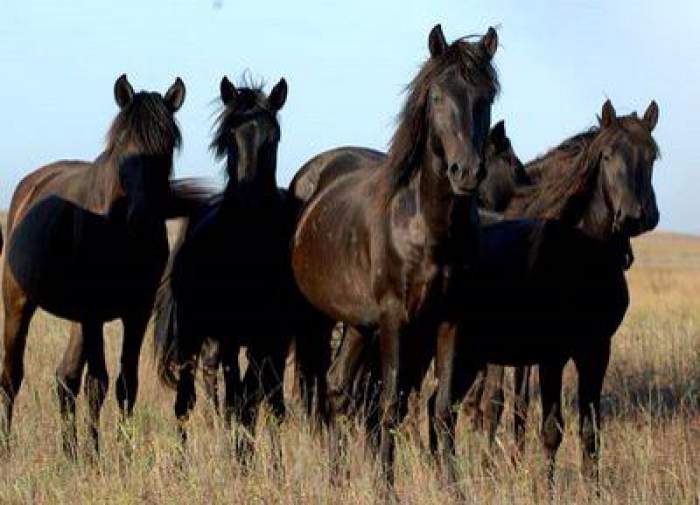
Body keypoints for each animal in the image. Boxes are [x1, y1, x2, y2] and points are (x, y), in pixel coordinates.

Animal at [0, 76, 189, 456]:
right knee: (11, 376)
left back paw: (70, 452)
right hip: (18, 305)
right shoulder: (93, 312)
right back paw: (9, 447)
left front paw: (124, 453)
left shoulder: (137, 312)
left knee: (65, 377)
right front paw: (96, 455)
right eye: (124, 146)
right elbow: (97, 383)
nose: (142, 213)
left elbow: (126, 383)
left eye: (168, 146)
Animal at [154, 75, 292, 456]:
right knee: (187, 402)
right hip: (193, 336)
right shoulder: (232, 338)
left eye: (273, 138)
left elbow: (265, 404)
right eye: (229, 138)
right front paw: (241, 459)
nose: (248, 200)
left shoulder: (271, 340)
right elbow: (239, 403)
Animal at [288, 25, 498, 486]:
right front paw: (386, 487)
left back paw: (339, 478)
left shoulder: (450, 319)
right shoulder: (393, 319)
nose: (467, 172)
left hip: (357, 324)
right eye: (436, 96)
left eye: (487, 96)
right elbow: (389, 406)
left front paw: (452, 487)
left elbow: (442, 408)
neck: (427, 227)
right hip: (319, 318)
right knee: (328, 392)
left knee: (338, 389)